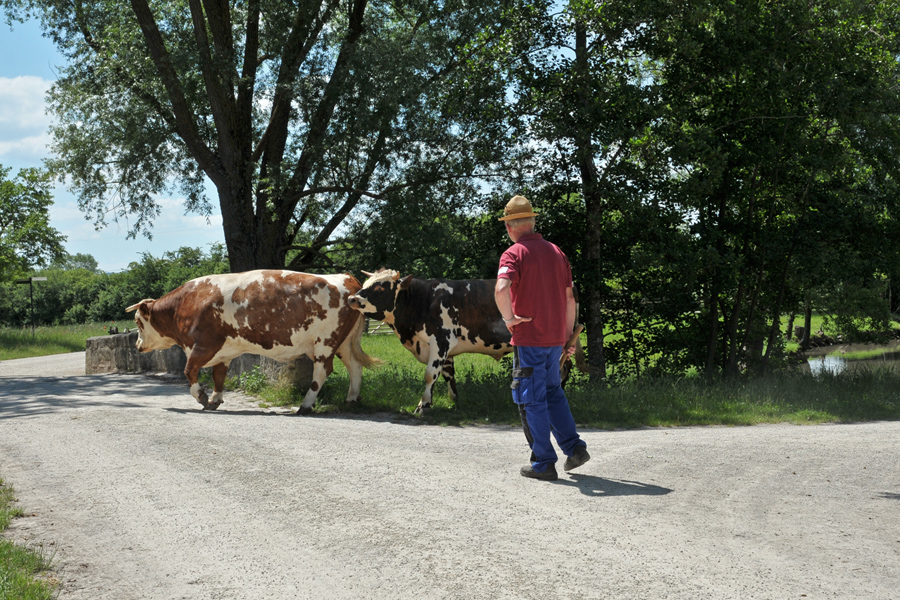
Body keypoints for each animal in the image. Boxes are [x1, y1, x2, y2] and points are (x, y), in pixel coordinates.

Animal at [125, 270, 376, 414]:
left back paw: (305, 405)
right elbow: (218, 376)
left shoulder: (204, 345)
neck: (187, 302)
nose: (137, 346)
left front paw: (202, 397)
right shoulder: (223, 351)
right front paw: (215, 399)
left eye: (137, 321)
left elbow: (189, 371)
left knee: (322, 371)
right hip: (344, 343)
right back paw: (352, 400)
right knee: (355, 366)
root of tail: (347, 278)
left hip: (325, 341)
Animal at [348, 270, 588, 414]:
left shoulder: (440, 340)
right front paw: (452, 400)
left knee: (562, 367)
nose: (352, 298)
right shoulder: (445, 349)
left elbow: (430, 374)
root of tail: (570, 282)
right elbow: (447, 374)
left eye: (380, 287)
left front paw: (422, 405)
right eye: (366, 282)